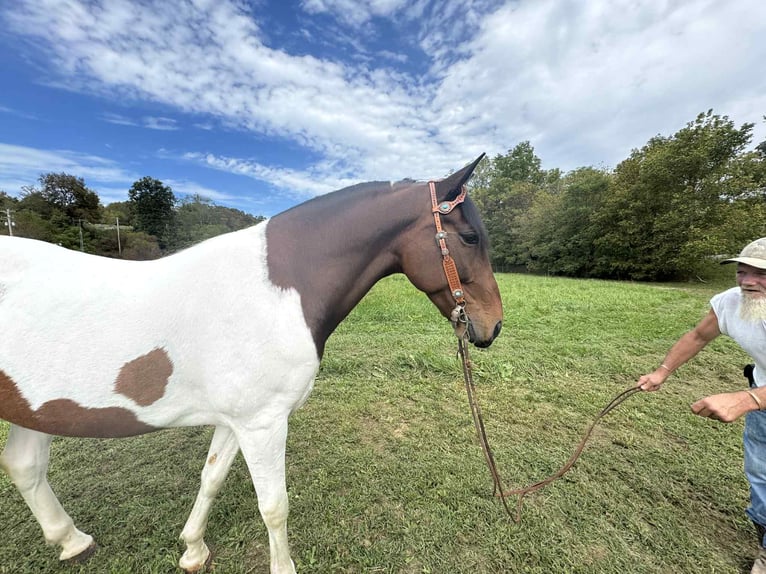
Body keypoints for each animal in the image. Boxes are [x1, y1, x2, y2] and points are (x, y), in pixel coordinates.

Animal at [0, 155, 502, 573]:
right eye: (470, 237)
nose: (493, 326)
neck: (278, 290)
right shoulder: (263, 422)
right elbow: (274, 505)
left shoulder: (237, 421)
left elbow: (212, 477)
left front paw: (193, 548)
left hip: (34, 411)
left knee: (25, 468)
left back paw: (72, 540)